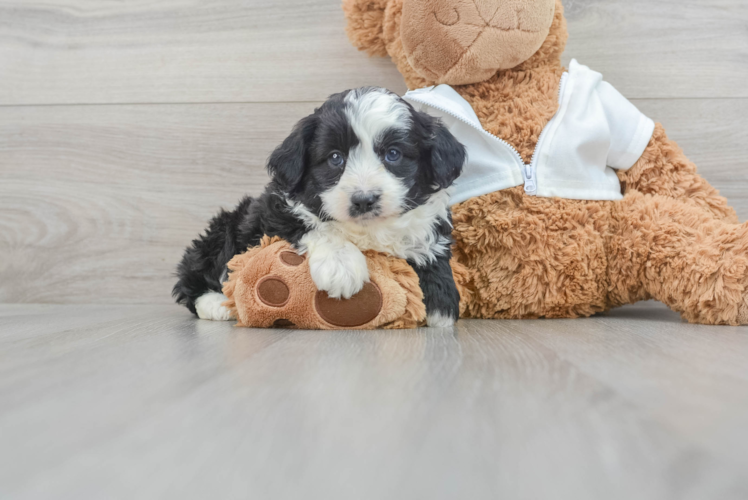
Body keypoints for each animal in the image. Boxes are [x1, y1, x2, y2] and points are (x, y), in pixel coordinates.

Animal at [176, 87, 468, 328]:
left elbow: (431, 247)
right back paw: (215, 304)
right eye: (335, 158)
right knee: (197, 272)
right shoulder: (275, 211)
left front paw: (440, 302)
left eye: (393, 154)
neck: (369, 231)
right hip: (225, 230)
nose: (364, 199)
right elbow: (313, 227)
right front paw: (342, 267)